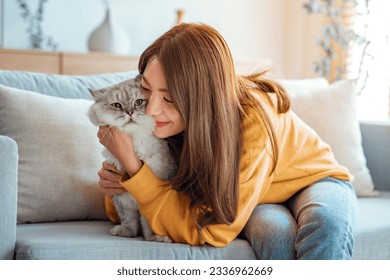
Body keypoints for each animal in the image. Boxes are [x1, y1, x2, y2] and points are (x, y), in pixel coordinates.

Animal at [88, 76, 175, 243]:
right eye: (117, 105)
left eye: (138, 102)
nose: (129, 112)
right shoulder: (121, 198)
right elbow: (129, 221)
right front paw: (126, 232)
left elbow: (148, 223)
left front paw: (155, 238)